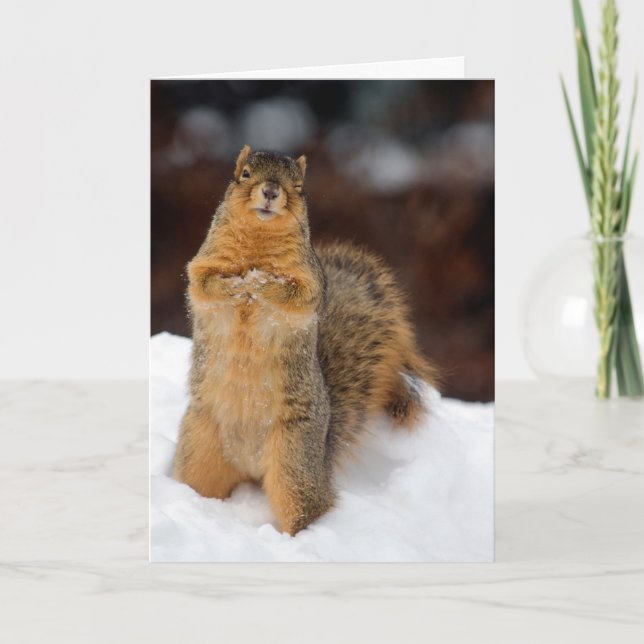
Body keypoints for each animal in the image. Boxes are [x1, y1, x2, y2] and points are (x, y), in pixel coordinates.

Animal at [172, 145, 439, 535]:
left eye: (299, 187)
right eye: (245, 174)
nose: (271, 192)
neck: (258, 240)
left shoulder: (311, 280)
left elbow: (297, 295)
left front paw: (263, 284)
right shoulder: (203, 263)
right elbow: (203, 284)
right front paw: (238, 285)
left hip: (293, 459)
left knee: (307, 505)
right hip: (199, 447)